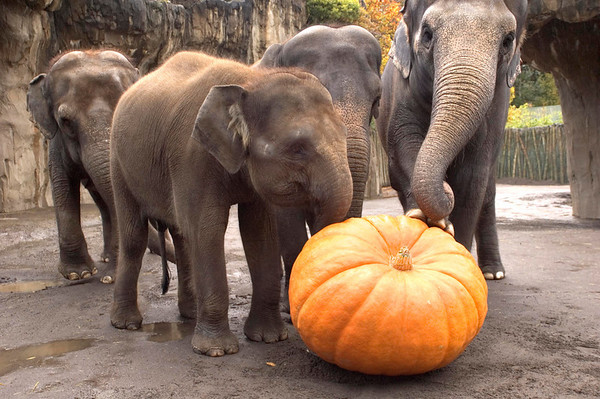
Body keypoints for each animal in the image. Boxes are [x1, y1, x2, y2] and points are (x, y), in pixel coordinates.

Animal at [27, 50, 175, 286]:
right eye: (65, 121)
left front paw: (109, 277)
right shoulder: (57, 142)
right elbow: (62, 184)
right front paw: (79, 274)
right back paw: (106, 258)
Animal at [110, 51, 354, 358]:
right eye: (297, 149)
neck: (249, 80)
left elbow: (258, 231)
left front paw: (269, 338)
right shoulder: (192, 156)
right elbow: (208, 229)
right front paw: (216, 351)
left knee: (181, 234)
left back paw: (190, 314)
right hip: (118, 163)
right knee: (134, 235)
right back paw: (126, 324)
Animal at [378, 0, 528, 282]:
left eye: (508, 40)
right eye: (427, 34)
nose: (445, 188)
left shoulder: (495, 110)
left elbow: (472, 178)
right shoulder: (399, 92)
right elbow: (402, 151)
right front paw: (422, 217)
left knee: (487, 192)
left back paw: (493, 273)